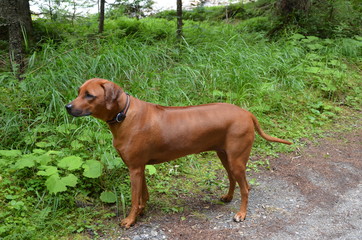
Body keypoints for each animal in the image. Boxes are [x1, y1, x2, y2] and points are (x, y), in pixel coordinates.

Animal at [65, 78, 292, 227]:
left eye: (89, 95)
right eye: (78, 91)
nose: (67, 106)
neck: (124, 114)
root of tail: (246, 113)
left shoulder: (134, 169)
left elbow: (133, 198)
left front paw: (130, 220)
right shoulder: (139, 167)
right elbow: (143, 195)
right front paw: (141, 211)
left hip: (236, 158)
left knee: (245, 187)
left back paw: (241, 214)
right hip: (224, 155)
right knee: (233, 179)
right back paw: (228, 197)